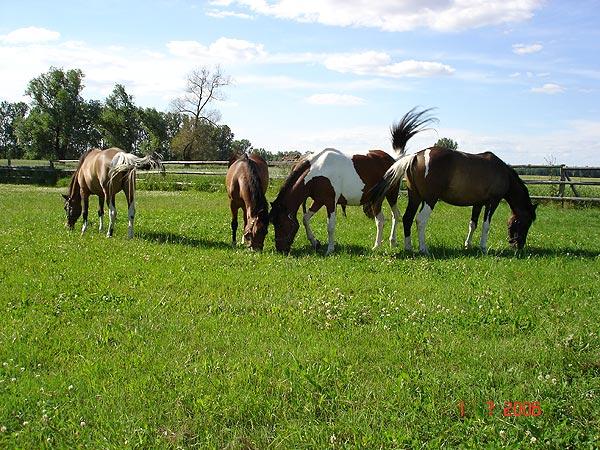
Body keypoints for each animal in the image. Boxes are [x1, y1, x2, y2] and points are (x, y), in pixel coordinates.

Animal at [270, 107, 434, 253]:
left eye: (280, 224)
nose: (280, 249)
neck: (317, 170)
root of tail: (394, 160)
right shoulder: (318, 200)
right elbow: (305, 218)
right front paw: (315, 242)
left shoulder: (330, 202)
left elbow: (330, 226)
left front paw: (330, 249)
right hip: (380, 198)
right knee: (389, 217)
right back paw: (387, 243)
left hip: (389, 195)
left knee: (388, 218)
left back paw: (381, 245)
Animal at [364, 144, 536, 253]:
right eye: (526, 223)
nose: (518, 245)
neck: (502, 172)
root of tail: (416, 156)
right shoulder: (492, 203)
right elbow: (486, 225)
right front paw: (483, 247)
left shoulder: (478, 204)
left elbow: (473, 224)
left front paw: (468, 245)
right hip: (430, 199)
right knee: (420, 220)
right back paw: (423, 248)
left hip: (416, 198)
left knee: (407, 218)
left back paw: (408, 247)